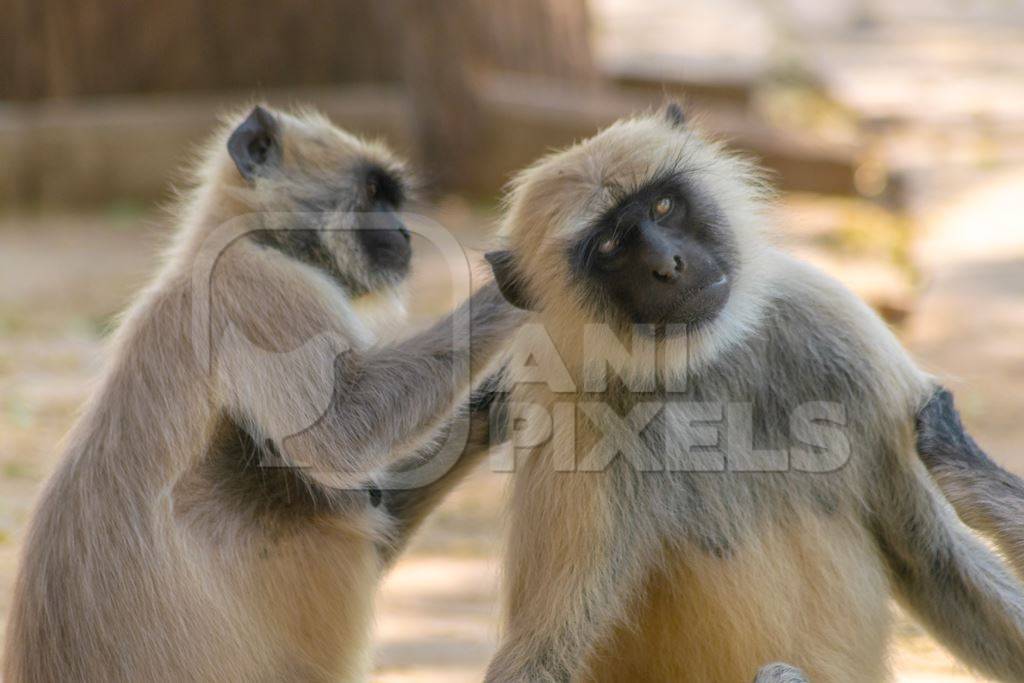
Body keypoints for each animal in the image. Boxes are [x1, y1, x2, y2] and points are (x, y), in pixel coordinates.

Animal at [2, 104, 520, 679]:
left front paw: (496, 407)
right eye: (371, 194)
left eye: (390, 199)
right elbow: (341, 435)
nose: (404, 232)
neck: (243, 239)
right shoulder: (258, 285)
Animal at [483, 102, 1024, 683]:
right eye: (609, 246)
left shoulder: (839, 329)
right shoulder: (577, 430)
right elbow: (543, 653)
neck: (706, 361)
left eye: (664, 205)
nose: (667, 265)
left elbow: (934, 555)